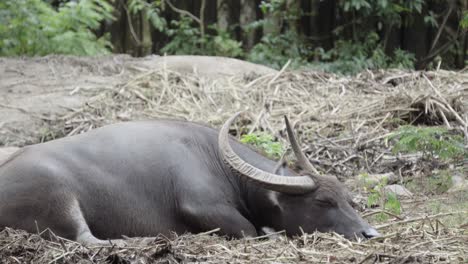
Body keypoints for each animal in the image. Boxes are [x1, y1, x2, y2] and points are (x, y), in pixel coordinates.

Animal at [0, 112, 378, 244]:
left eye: (350, 200)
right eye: (323, 201)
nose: (369, 233)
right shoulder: (203, 207)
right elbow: (251, 231)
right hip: (59, 198)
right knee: (85, 239)